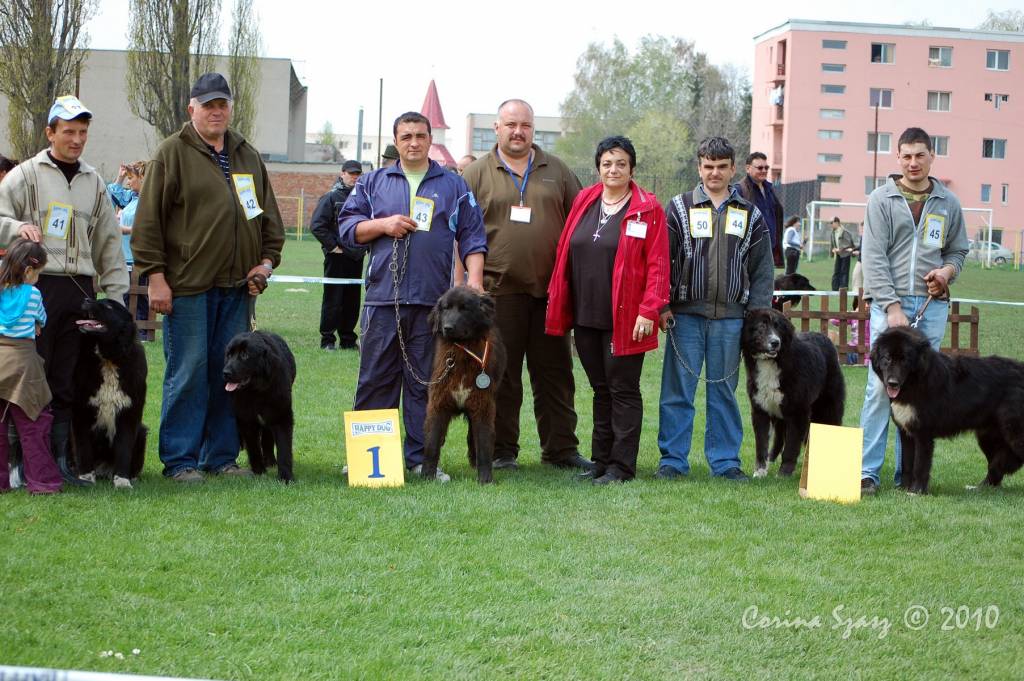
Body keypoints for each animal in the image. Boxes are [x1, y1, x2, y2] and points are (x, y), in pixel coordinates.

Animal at [72, 298, 148, 488]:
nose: (86, 300)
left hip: (142, 432)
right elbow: (83, 448)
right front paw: (85, 477)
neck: (109, 360)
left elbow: (124, 450)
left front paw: (122, 481)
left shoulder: (129, 415)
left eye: (108, 306)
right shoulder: (81, 412)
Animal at [223, 330, 296, 482]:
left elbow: (284, 448)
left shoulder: (281, 415)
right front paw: (258, 471)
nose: (225, 372)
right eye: (229, 355)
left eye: (245, 355)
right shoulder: (246, 419)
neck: (256, 392)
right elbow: (253, 447)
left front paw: (286, 477)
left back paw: (270, 461)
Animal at [421, 286, 507, 484]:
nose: (448, 328)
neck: (462, 353)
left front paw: (485, 480)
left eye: (464, 309)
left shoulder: (482, 405)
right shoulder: (438, 404)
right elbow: (432, 443)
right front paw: (427, 477)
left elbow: (483, 444)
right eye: (446, 308)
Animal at [741, 308, 845, 477]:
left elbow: (791, 445)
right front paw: (760, 472)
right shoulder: (760, 410)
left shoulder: (797, 411)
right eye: (761, 326)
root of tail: (826, 338)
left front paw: (784, 473)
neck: (772, 362)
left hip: (827, 407)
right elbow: (761, 444)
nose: (775, 342)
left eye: (777, 327)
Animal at [871, 326, 1024, 494]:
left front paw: (917, 491)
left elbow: (919, 465)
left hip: (1013, 432)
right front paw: (904, 489)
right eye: (887, 358)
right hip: (988, 436)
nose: (892, 383)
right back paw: (981, 487)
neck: (916, 381)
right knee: (995, 465)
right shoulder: (906, 432)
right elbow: (907, 464)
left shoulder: (923, 434)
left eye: (905, 360)